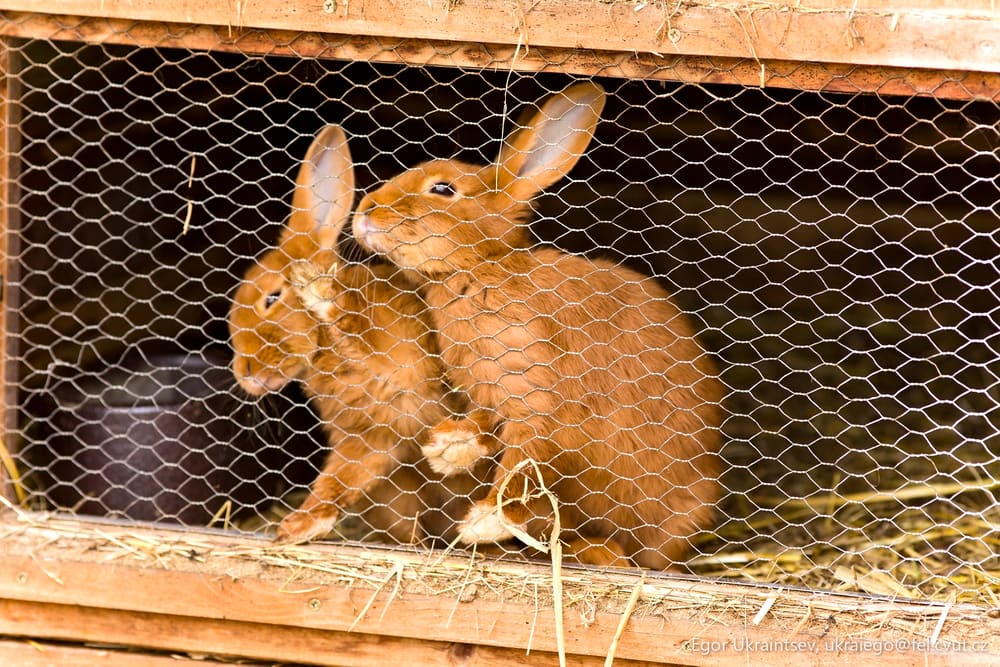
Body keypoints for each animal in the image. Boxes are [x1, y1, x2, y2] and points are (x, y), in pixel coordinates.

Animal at [228, 124, 487, 545]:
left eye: (272, 297)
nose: (244, 373)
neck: (325, 352)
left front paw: (316, 289)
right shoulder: (367, 439)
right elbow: (338, 480)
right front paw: (297, 527)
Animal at [350, 82, 724, 570]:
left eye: (443, 188)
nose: (364, 211)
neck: (480, 270)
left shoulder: (538, 403)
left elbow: (521, 466)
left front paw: (482, 523)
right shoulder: (492, 397)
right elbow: (484, 429)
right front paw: (447, 450)